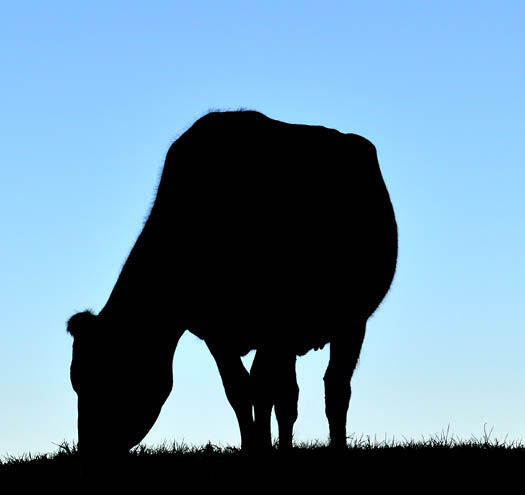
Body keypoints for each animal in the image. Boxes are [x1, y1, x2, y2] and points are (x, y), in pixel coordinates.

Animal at [67, 110, 400, 464]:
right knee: (291, 395)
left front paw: (264, 449)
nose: (88, 451)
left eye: (111, 376)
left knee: (334, 387)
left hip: (351, 320)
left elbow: (265, 390)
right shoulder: (218, 333)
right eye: (77, 382)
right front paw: (252, 446)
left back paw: (335, 447)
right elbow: (241, 391)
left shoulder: (276, 327)